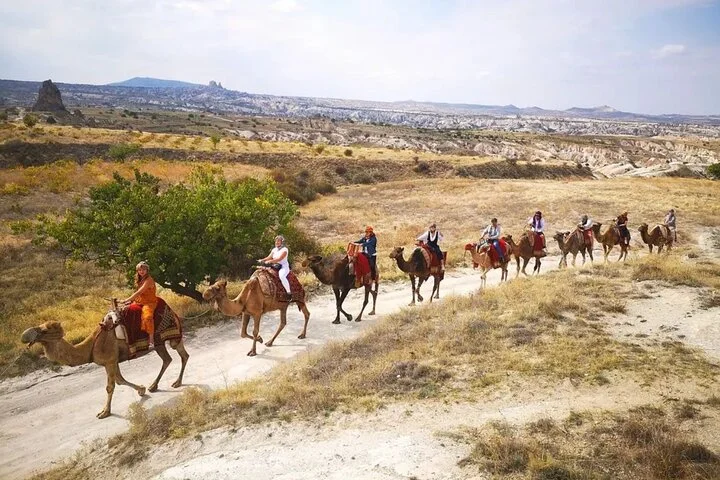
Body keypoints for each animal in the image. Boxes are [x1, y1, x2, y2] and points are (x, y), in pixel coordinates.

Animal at [20, 311, 189, 419]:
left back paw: (176, 382)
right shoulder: (113, 360)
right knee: (169, 359)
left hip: (170, 336)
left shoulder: (109, 361)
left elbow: (110, 386)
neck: (91, 346)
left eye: (45, 330)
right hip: (160, 342)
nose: (25, 335)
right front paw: (141, 390)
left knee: (180, 355)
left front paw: (104, 412)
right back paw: (154, 386)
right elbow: (120, 380)